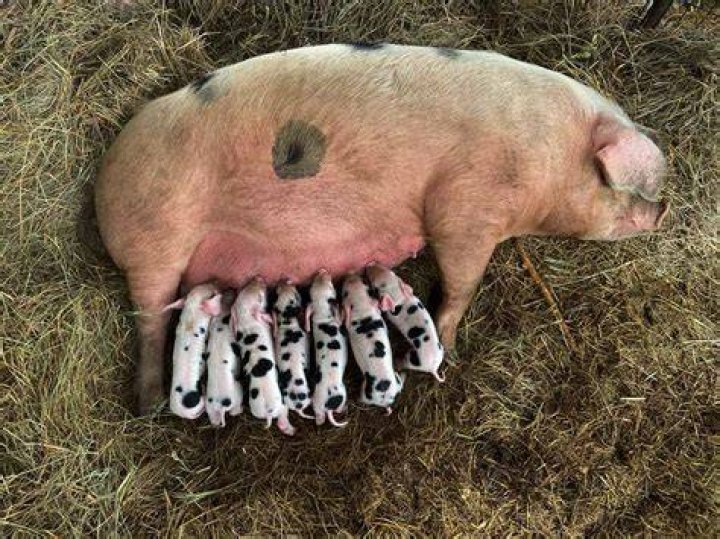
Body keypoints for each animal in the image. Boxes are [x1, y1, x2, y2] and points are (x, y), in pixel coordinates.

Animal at [205, 293, 244, 427]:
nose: (231, 290)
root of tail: (220, 405)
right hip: (237, 391)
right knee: (234, 412)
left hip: (210, 408)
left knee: (214, 420)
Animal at [232, 278, 295, 436]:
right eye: (260, 298)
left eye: (244, 289)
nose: (259, 278)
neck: (246, 317)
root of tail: (268, 411)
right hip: (281, 402)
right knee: (283, 413)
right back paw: (293, 431)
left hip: (256, 410)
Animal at [272, 281, 313, 419]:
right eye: (296, 296)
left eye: (277, 293)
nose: (285, 281)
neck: (287, 323)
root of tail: (298, 406)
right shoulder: (306, 338)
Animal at [307, 270, 348, 427]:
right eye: (331, 287)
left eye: (311, 286)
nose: (322, 270)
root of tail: (327, 405)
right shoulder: (337, 321)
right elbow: (341, 318)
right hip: (343, 392)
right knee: (337, 409)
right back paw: (344, 409)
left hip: (316, 402)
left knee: (320, 419)